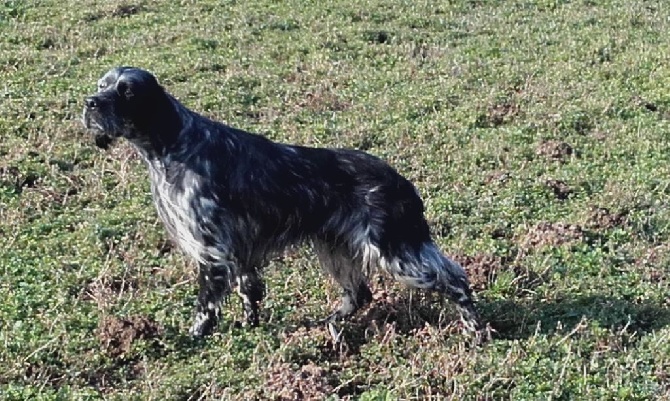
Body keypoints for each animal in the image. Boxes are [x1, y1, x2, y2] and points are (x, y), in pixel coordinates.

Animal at [82, 67, 484, 336]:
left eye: (127, 91)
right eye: (101, 85)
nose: (89, 103)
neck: (174, 146)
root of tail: (401, 182)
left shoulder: (212, 253)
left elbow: (205, 310)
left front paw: (195, 340)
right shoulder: (239, 253)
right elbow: (250, 295)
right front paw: (251, 326)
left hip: (395, 252)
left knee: (456, 279)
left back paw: (475, 330)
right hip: (336, 247)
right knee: (360, 294)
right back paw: (330, 324)